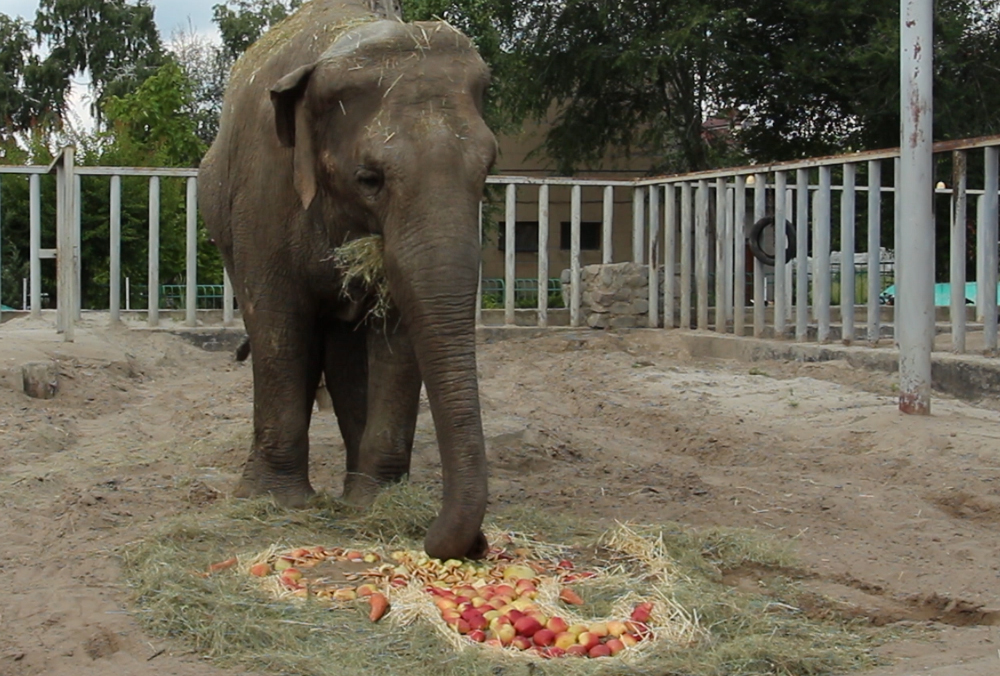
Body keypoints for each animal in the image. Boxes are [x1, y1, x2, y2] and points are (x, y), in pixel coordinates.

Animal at [198, 0, 496, 560]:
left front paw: (374, 503)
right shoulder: (263, 190)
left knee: (342, 354)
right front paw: (275, 503)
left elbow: (397, 335)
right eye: (369, 179)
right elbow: (279, 325)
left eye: (488, 170)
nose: (478, 544)